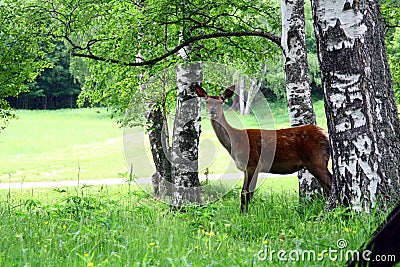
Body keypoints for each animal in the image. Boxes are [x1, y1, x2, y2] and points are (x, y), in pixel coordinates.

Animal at [195, 84, 332, 214]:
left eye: (221, 101)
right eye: (207, 101)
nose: (212, 111)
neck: (236, 141)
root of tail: (326, 135)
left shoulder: (254, 164)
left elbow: (247, 194)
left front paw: (245, 215)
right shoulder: (246, 169)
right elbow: (244, 193)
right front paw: (242, 214)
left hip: (316, 159)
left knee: (331, 184)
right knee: (327, 187)